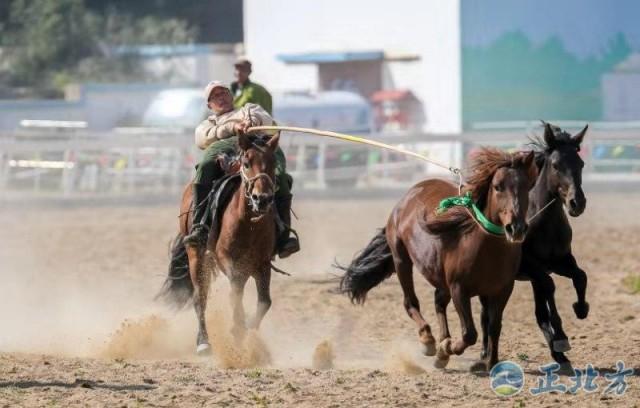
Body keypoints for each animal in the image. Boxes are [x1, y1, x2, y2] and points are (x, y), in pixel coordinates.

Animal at [158, 131, 280, 354]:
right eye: (246, 163)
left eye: (273, 163)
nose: (262, 199)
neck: (248, 224)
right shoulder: (231, 264)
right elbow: (235, 297)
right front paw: (238, 330)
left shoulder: (263, 264)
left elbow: (264, 302)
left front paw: (249, 327)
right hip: (196, 256)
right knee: (200, 298)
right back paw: (203, 342)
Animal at [342, 149, 536, 370]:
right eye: (497, 186)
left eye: (526, 186)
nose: (516, 228)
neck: (482, 246)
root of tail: (408, 195)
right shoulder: (459, 288)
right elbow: (469, 333)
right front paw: (446, 349)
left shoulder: (502, 290)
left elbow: (494, 327)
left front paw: (492, 363)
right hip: (401, 260)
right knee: (411, 302)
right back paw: (428, 341)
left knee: (438, 301)